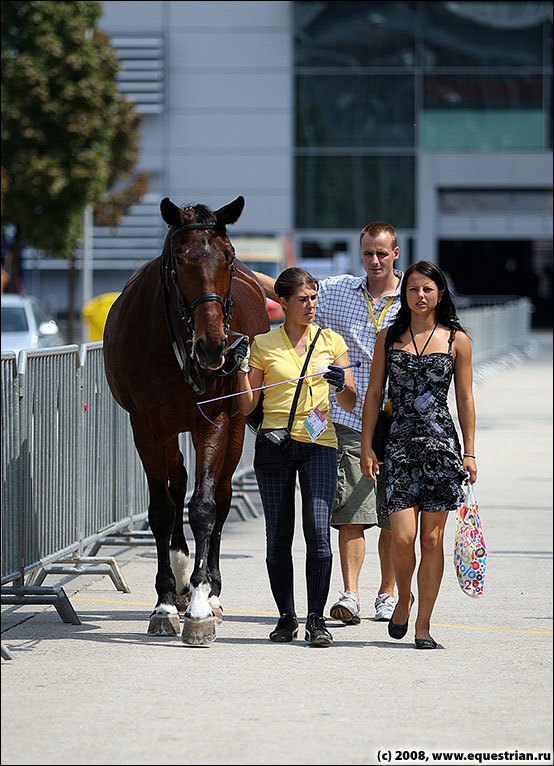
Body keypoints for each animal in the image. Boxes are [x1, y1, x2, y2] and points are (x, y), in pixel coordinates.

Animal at [103, 195, 270, 644]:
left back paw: (211, 588)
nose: (214, 347)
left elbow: (205, 508)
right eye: (180, 259)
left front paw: (199, 605)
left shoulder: (212, 420)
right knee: (176, 480)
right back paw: (178, 576)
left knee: (223, 495)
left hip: (233, 425)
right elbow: (162, 508)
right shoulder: (145, 425)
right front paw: (165, 601)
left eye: (229, 256)